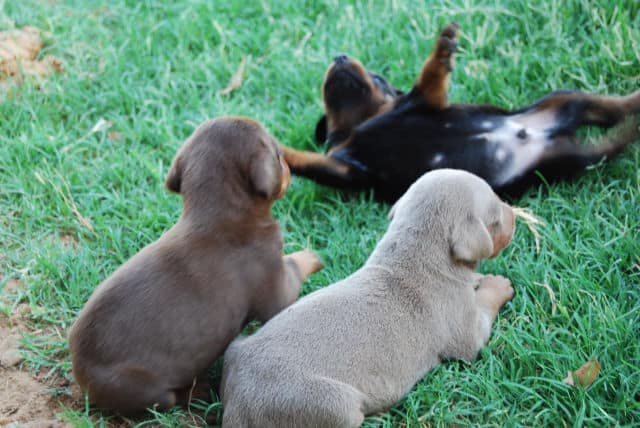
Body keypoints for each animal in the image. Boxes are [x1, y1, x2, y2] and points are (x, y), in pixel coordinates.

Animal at [67, 117, 322, 414]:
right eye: (279, 155)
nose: (290, 169)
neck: (219, 215)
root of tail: (81, 376)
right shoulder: (275, 285)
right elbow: (293, 267)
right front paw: (312, 256)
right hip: (144, 389)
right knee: (168, 399)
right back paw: (199, 390)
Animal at [220, 169, 516, 426]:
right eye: (497, 218)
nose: (514, 214)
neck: (414, 255)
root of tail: (237, 404)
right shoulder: (465, 330)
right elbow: (483, 313)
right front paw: (498, 284)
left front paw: (477, 278)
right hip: (331, 403)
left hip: (238, 345)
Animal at [286, 22, 640, 203]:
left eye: (378, 79)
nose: (340, 57)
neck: (361, 123)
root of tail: (549, 132)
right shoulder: (346, 170)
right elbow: (310, 162)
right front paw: (279, 153)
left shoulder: (424, 103)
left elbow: (429, 75)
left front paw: (443, 48)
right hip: (565, 158)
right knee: (609, 138)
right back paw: (629, 127)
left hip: (560, 103)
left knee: (612, 110)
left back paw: (634, 102)